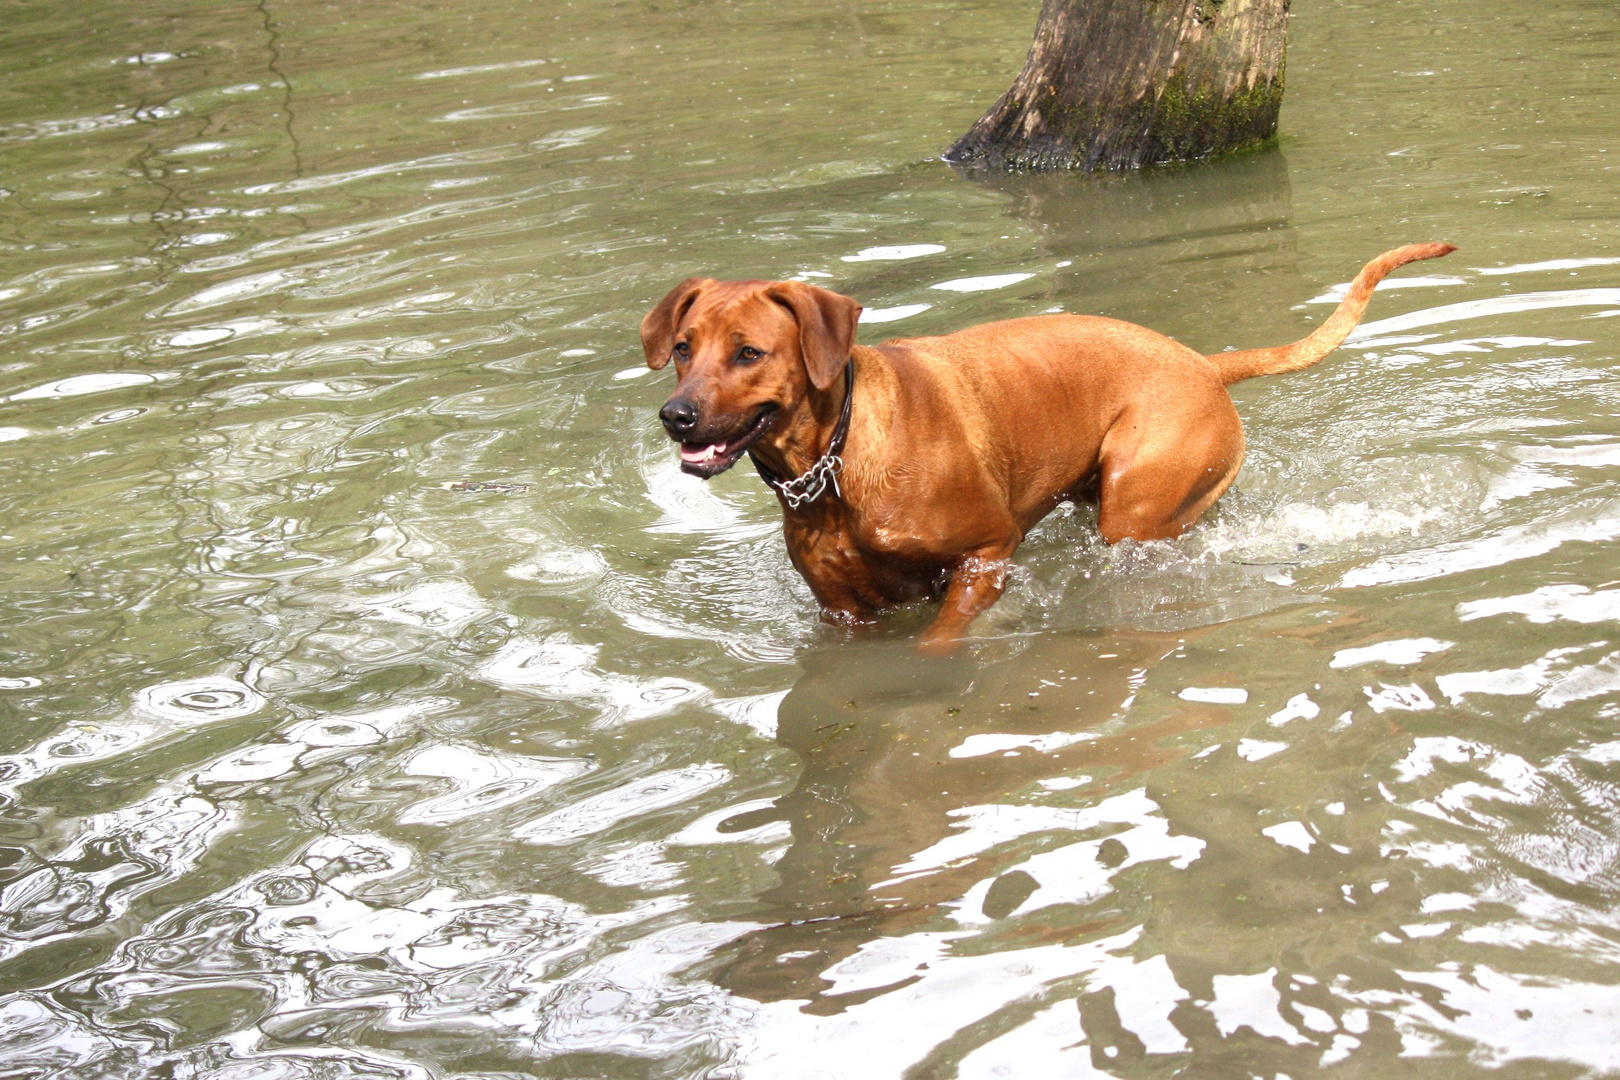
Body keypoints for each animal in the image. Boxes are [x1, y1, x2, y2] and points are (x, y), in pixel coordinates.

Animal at [641, 242, 1458, 650]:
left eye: (749, 353)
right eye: (683, 347)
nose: (676, 415)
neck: (834, 465)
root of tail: (1203, 363)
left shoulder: (986, 551)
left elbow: (938, 642)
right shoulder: (843, 614)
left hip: (1136, 504)